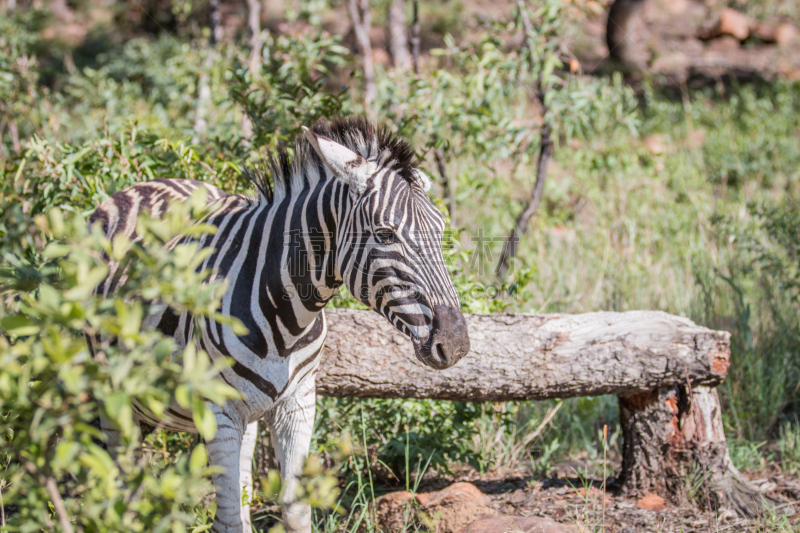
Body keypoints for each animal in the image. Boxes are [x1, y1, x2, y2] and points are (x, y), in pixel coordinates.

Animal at [89, 118, 468, 532]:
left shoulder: (297, 403)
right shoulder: (218, 413)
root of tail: (142, 185)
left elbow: (293, 508)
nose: (456, 344)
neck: (286, 321)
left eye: (441, 230)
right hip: (109, 403)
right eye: (385, 234)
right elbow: (228, 520)